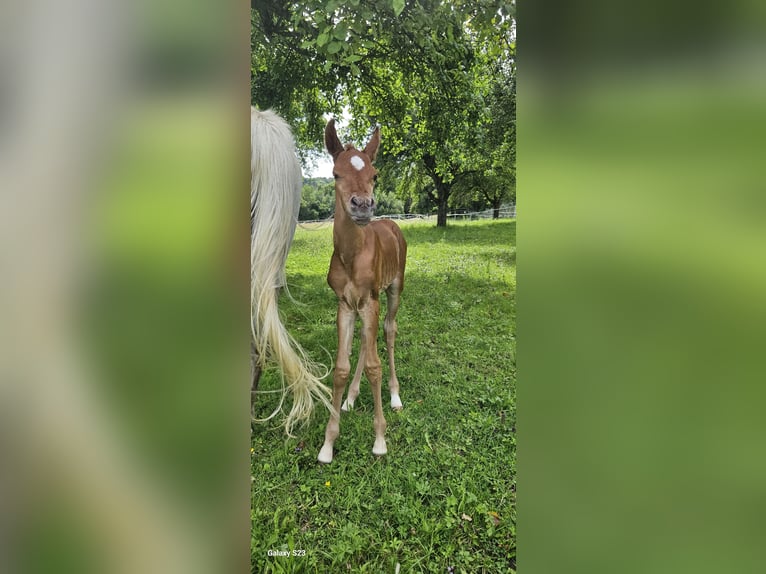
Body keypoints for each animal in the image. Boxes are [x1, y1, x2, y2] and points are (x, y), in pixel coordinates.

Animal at [318, 121, 408, 468]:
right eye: (335, 174)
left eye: (375, 175)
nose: (363, 206)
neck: (352, 255)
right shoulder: (345, 303)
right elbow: (342, 367)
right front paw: (328, 443)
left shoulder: (371, 299)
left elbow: (374, 366)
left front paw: (380, 440)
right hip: (360, 306)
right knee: (365, 343)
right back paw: (352, 398)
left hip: (393, 290)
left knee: (388, 332)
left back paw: (395, 396)